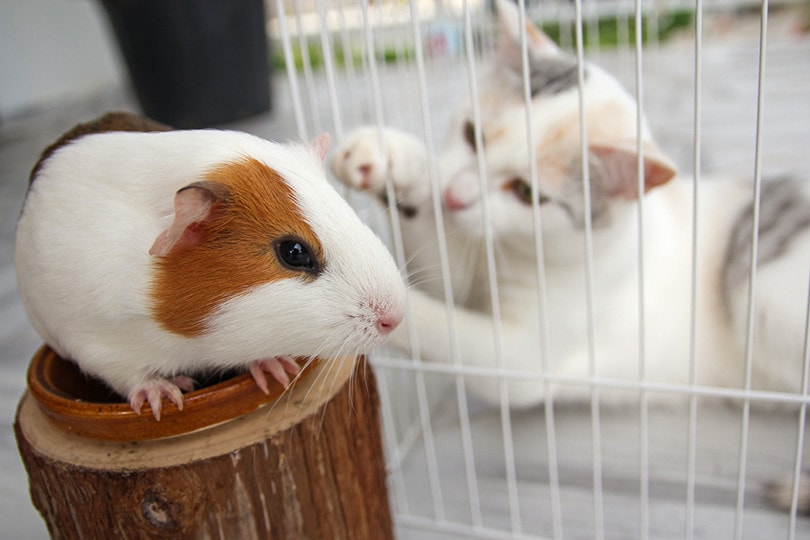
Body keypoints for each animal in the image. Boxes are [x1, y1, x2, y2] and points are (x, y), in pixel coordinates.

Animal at [328, 0, 808, 410]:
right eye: (471, 135)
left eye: (527, 193)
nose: (454, 196)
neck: (518, 250)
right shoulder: (465, 264)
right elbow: (441, 268)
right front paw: (391, 157)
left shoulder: (526, 360)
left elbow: (444, 325)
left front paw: (367, 313)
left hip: (762, 301)